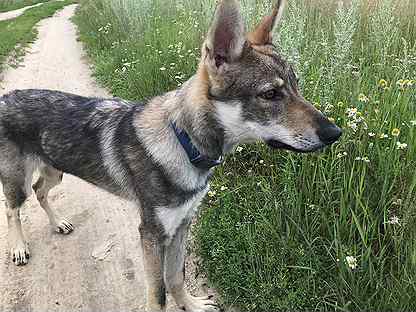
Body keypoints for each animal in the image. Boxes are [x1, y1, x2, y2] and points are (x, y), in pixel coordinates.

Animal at [0, 1, 342, 310]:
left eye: (297, 86)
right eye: (270, 94)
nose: (335, 132)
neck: (184, 143)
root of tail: (6, 96)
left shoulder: (182, 224)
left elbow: (176, 277)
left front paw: (191, 304)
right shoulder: (151, 234)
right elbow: (158, 294)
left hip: (54, 171)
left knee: (40, 191)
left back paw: (58, 223)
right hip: (18, 182)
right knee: (12, 210)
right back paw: (19, 248)